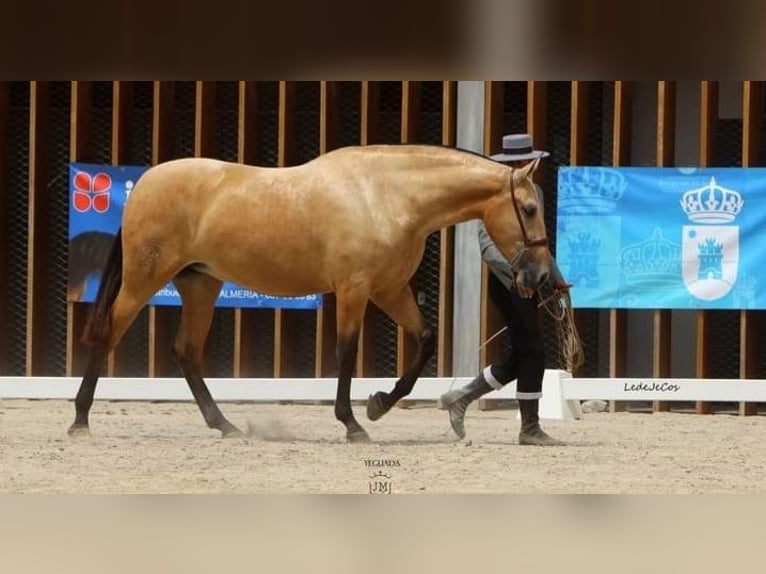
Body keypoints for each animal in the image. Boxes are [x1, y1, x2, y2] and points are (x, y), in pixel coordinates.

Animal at [67, 144, 552, 440]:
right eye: (529, 208)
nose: (542, 277)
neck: (384, 195)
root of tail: (145, 183)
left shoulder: (390, 290)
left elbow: (426, 340)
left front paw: (379, 404)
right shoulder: (355, 289)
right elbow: (346, 353)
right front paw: (353, 423)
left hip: (200, 284)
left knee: (186, 351)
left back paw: (224, 424)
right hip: (143, 280)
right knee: (109, 335)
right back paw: (80, 420)